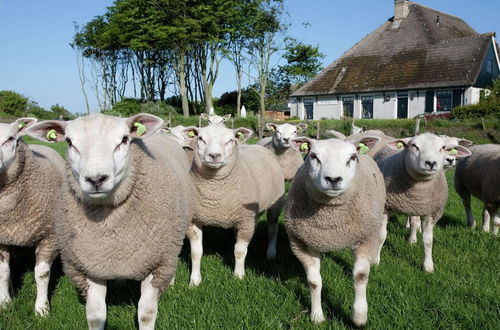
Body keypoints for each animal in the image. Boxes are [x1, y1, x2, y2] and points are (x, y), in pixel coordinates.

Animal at [0, 117, 64, 316]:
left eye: (10, 139)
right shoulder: (2, 237)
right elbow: (3, 271)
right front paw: (4, 302)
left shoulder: (50, 236)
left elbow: (41, 274)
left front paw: (42, 309)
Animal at [26, 114, 193, 330]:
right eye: (69, 142)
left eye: (124, 139)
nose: (96, 179)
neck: (109, 223)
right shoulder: (90, 265)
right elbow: (95, 314)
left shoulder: (156, 265)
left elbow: (146, 314)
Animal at [183, 122, 286, 284]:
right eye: (201, 138)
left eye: (230, 140)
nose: (214, 155)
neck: (214, 195)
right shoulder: (194, 220)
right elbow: (196, 252)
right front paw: (195, 280)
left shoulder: (246, 221)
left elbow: (239, 251)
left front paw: (238, 276)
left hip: (276, 203)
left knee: (272, 228)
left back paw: (271, 253)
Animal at [286, 135, 386, 326]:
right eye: (313, 156)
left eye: (352, 157)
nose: (333, 179)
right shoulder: (302, 244)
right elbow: (314, 282)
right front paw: (317, 316)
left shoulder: (366, 238)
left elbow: (360, 276)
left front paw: (359, 317)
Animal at [374, 133, 470, 272]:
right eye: (414, 146)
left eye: (442, 148)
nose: (431, 163)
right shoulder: (385, 209)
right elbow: (382, 235)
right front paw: (375, 261)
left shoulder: (429, 212)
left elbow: (428, 240)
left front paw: (428, 266)